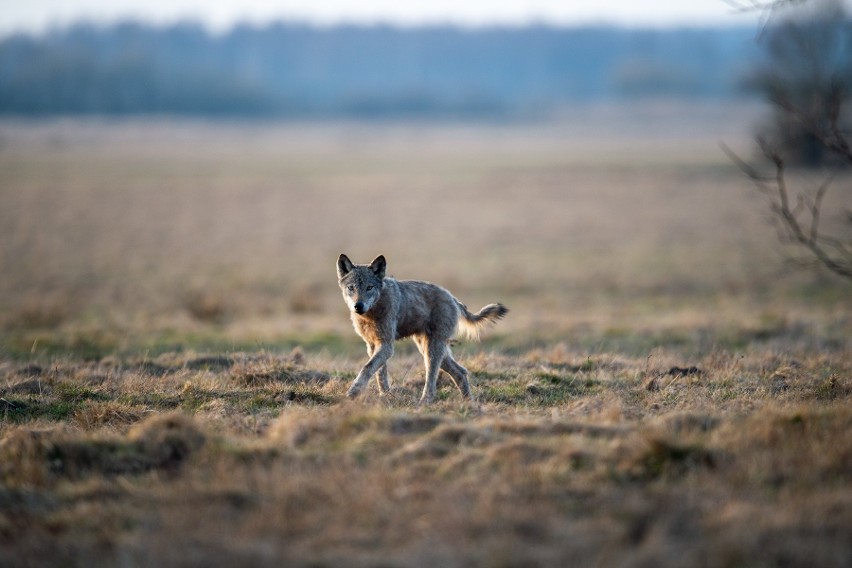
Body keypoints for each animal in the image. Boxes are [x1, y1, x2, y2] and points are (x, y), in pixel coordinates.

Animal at [334, 253, 506, 404]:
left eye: (369, 287)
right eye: (351, 288)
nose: (358, 306)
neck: (371, 314)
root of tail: (453, 298)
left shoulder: (387, 346)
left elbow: (367, 367)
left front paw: (353, 393)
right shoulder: (372, 345)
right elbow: (379, 373)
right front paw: (385, 395)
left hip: (431, 351)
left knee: (432, 378)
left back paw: (424, 402)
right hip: (430, 349)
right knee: (461, 372)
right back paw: (470, 404)